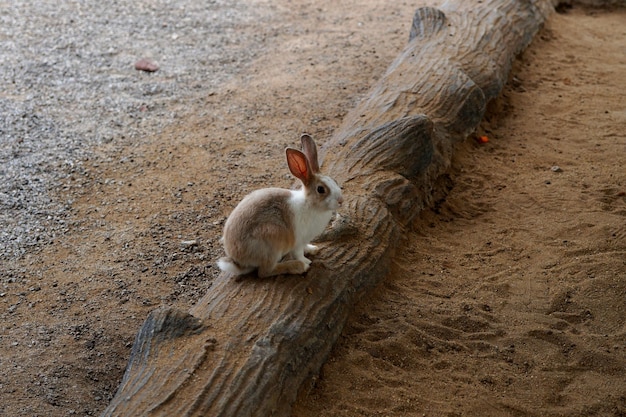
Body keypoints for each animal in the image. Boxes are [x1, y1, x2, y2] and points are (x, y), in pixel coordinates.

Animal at [214, 133, 342, 276]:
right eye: (321, 189)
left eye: (335, 181)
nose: (341, 200)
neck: (310, 204)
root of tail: (237, 261)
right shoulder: (297, 242)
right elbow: (298, 253)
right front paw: (306, 262)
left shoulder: (304, 240)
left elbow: (306, 246)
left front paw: (313, 249)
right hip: (272, 240)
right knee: (264, 272)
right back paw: (298, 266)